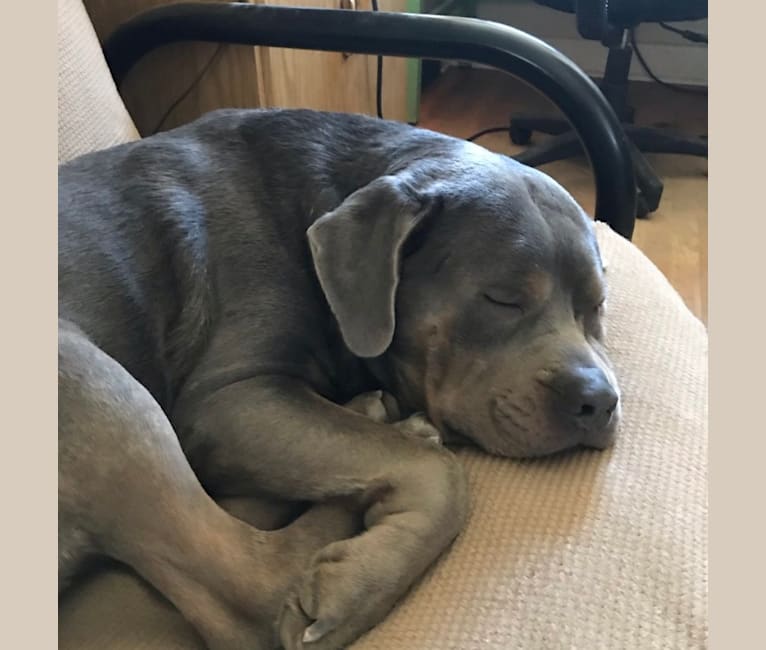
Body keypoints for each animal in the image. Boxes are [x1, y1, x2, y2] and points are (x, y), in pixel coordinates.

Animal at [58, 109, 624, 644]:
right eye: (502, 299)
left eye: (596, 305)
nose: (598, 400)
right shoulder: (228, 397)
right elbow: (440, 475)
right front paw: (361, 580)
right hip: (92, 383)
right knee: (252, 582)